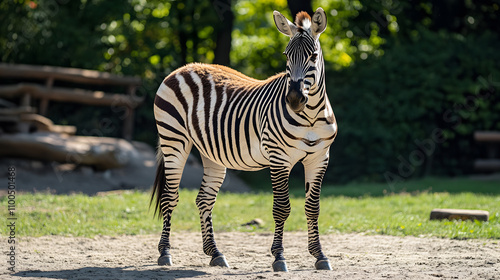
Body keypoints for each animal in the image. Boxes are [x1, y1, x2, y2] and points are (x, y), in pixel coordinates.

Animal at [149, 7, 336, 272]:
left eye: (313, 56)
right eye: (286, 55)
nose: (293, 99)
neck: (310, 116)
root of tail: (182, 68)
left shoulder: (319, 158)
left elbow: (313, 208)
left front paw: (320, 255)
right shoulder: (279, 158)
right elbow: (281, 208)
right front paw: (279, 257)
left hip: (210, 151)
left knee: (204, 200)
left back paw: (215, 254)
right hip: (173, 141)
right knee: (169, 197)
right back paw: (165, 253)